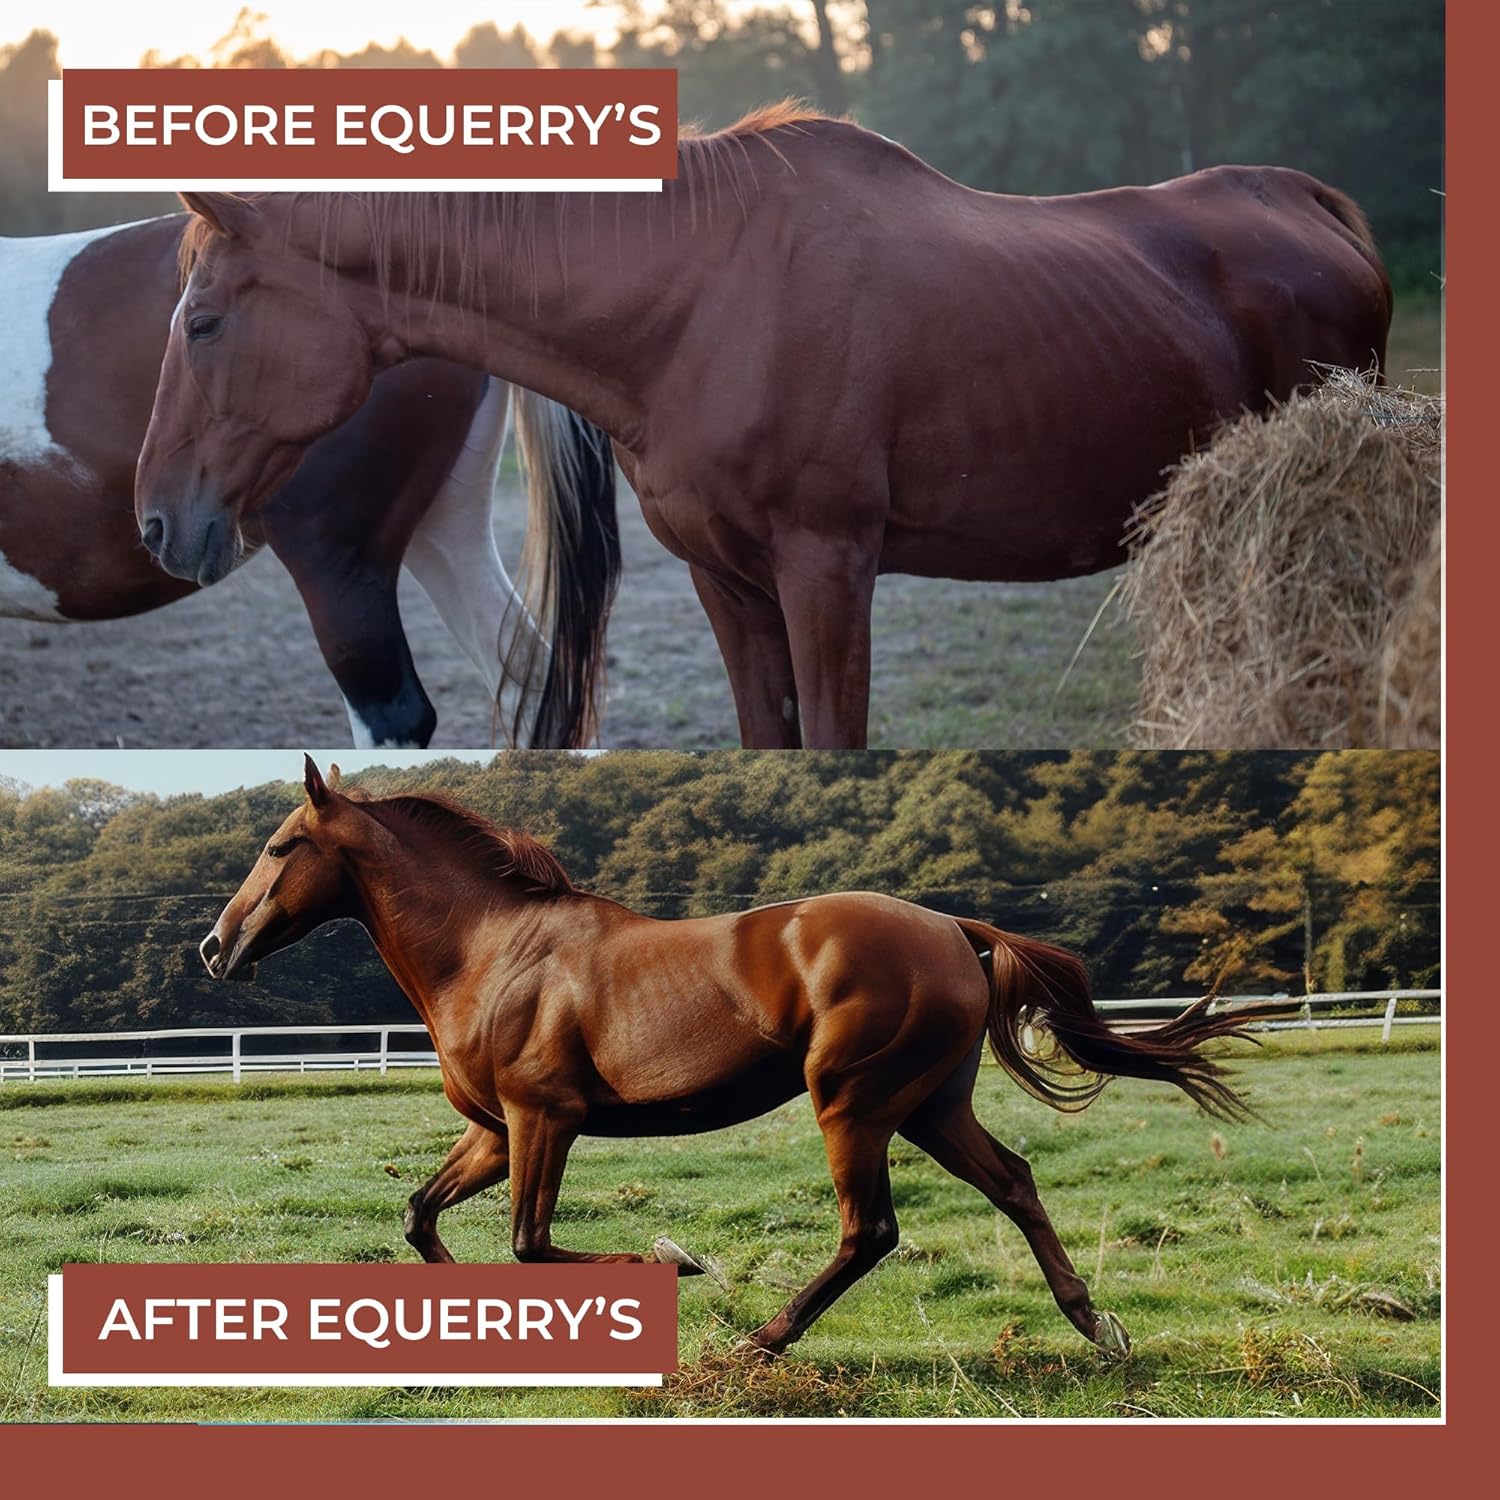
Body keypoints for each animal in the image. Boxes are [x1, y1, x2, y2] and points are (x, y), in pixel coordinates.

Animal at [1, 214, 619, 747]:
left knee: (395, 715)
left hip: (337, 566)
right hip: (445, 529)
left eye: (202, 326)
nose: (154, 523)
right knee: (531, 683)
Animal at [135, 105, 1393, 749]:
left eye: (202, 321)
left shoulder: (827, 569)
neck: (702, 297)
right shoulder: (727, 581)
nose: (155, 522)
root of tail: (1311, 204)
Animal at [199, 755, 1259, 1355]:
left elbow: (531, 1244)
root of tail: (955, 928)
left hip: (853, 1103)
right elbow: (422, 1218)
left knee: (871, 1231)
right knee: (1014, 1181)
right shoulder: (497, 1132)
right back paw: (1096, 1325)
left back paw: (763, 1341)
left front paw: (678, 1261)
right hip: (930, 1105)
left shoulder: (546, 1120)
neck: (492, 951)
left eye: (280, 845)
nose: (215, 947)